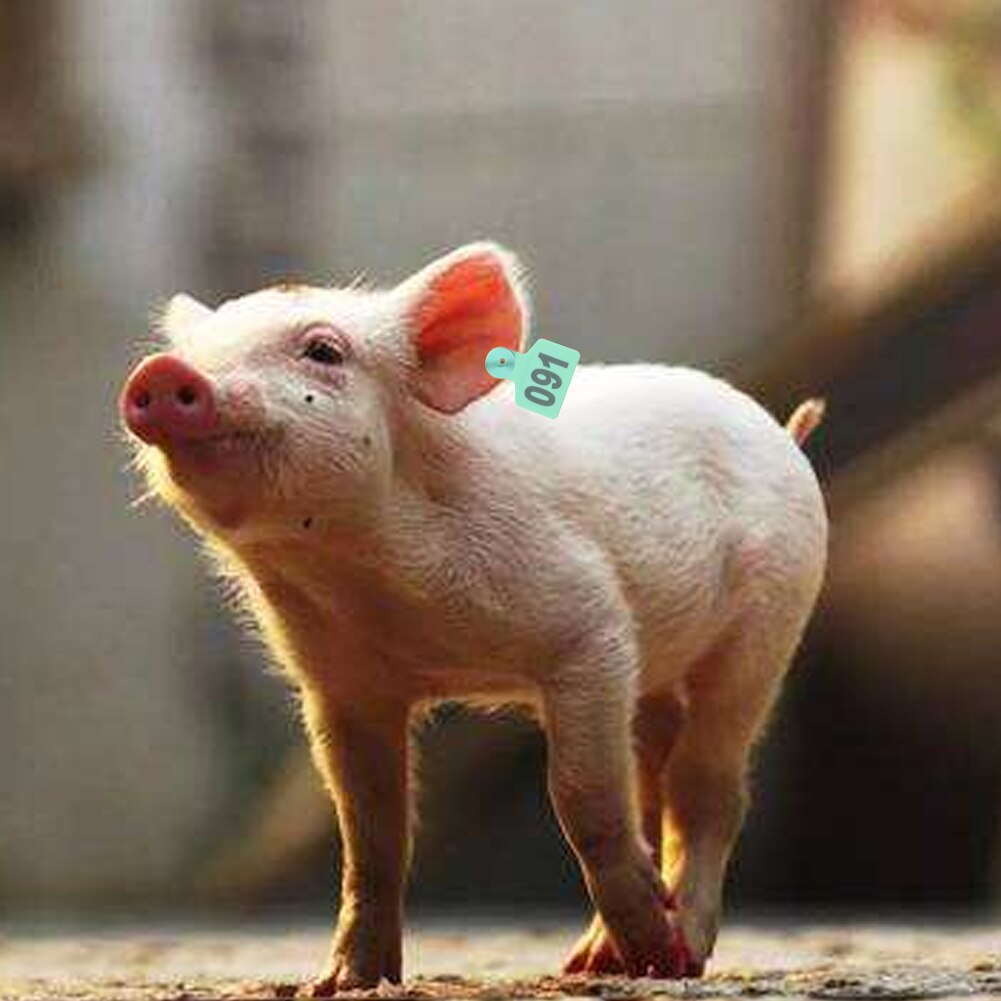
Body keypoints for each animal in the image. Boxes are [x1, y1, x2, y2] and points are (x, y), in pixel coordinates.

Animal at [119, 242, 827, 993]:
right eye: (197, 349)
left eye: (323, 350)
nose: (164, 372)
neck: (372, 586)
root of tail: (783, 434)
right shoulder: (342, 684)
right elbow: (369, 831)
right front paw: (340, 983)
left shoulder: (589, 626)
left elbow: (581, 797)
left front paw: (652, 954)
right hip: (659, 669)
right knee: (652, 785)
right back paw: (595, 962)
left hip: (771, 616)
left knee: (706, 786)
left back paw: (670, 958)